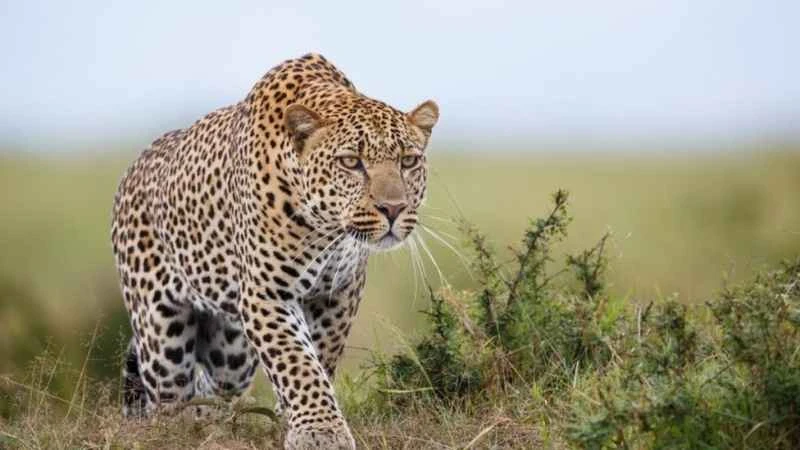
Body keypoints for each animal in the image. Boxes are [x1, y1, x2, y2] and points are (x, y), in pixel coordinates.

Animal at [111, 52, 439, 449]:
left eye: (408, 161)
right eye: (350, 162)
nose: (393, 209)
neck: (325, 228)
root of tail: (133, 167)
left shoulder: (339, 293)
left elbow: (320, 357)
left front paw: (293, 419)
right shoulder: (267, 294)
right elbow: (297, 361)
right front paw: (320, 431)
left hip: (230, 352)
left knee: (213, 389)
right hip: (162, 337)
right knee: (169, 400)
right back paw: (183, 431)